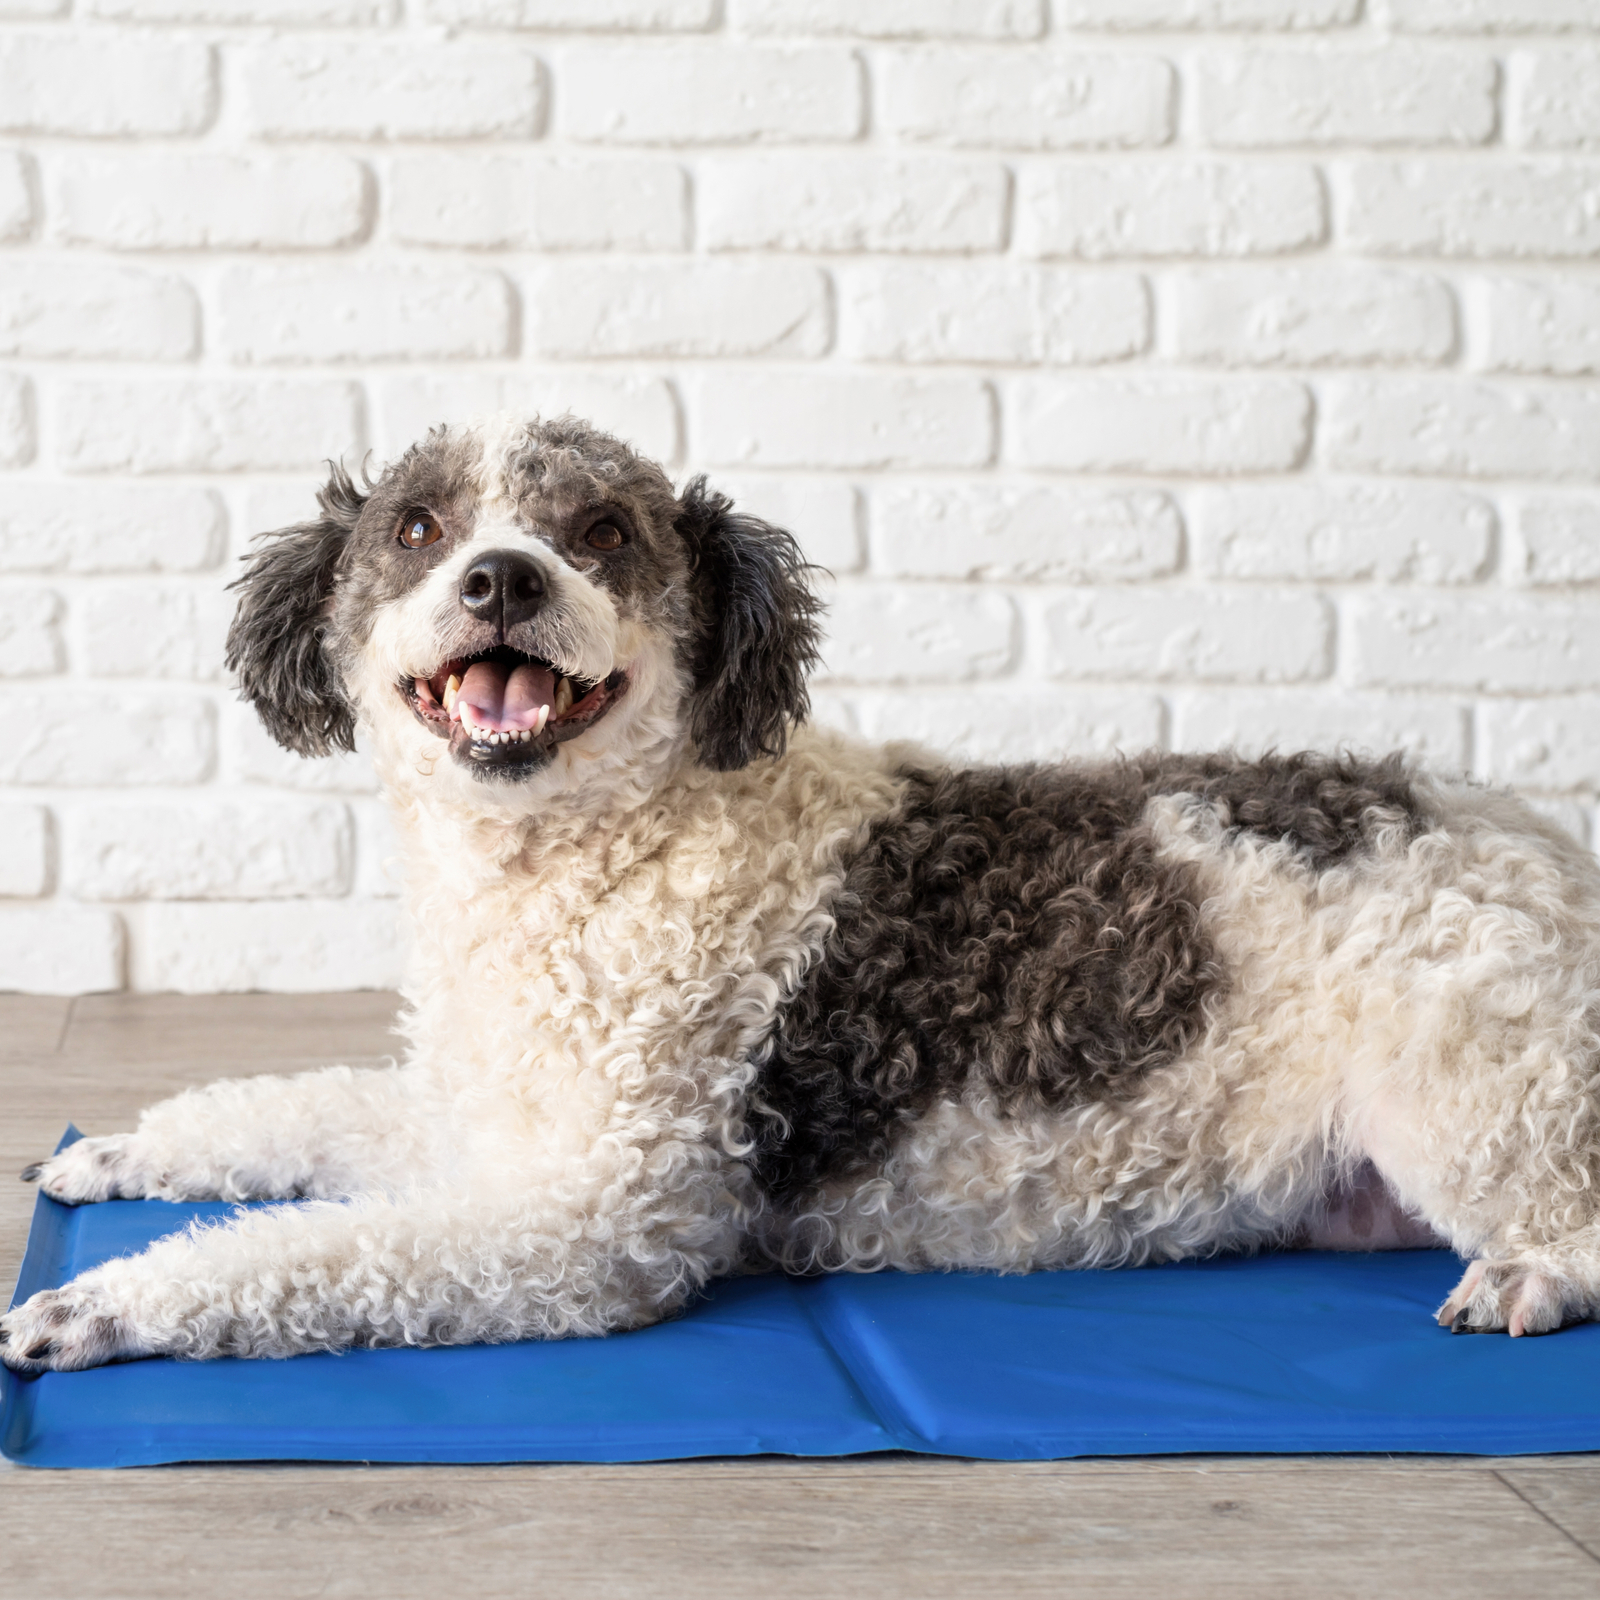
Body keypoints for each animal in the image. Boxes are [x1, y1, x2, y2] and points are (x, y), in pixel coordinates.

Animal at [3, 416, 1600, 1376]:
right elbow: (284, 1111)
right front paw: (116, 1152)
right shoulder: (480, 1118)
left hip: (1476, 1095)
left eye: (601, 531)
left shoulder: (593, 1218)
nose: (503, 578)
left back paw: (1531, 1279)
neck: (591, 862)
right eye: (414, 528)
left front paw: (102, 1301)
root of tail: (1536, 843)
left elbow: (316, 1255)